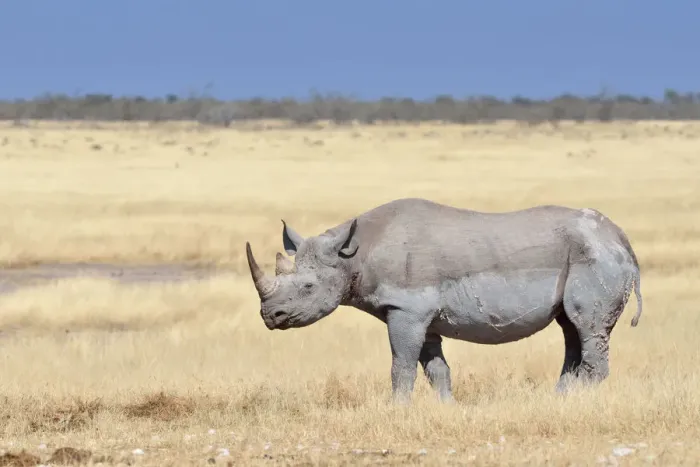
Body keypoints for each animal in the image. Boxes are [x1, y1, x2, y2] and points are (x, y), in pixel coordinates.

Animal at [245, 198, 643, 403]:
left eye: (308, 288)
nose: (270, 316)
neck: (352, 256)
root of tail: (622, 239)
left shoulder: (405, 308)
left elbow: (402, 365)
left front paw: (397, 410)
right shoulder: (420, 313)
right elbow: (436, 368)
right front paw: (447, 408)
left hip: (594, 257)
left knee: (587, 327)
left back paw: (575, 403)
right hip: (584, 256)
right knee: (571, 329)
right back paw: (556, 401)